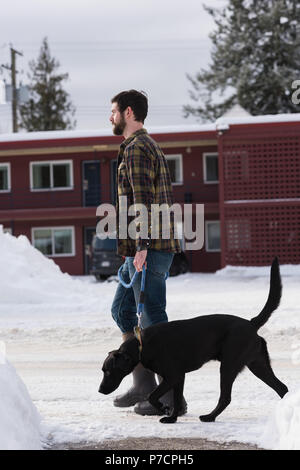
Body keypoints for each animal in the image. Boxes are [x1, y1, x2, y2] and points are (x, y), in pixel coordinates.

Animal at [99, 258, 288, 424]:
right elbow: (175, 399)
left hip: (228, 367)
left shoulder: (173, 375)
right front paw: (172, 418)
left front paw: (164, 409)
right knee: (282, 388)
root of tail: (251, 323)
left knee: (226, 397)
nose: (100, 390)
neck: (141, 345)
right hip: (258, 364)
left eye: (108, 371)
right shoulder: (178, 378)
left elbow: (152, 396)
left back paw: (209, 417)